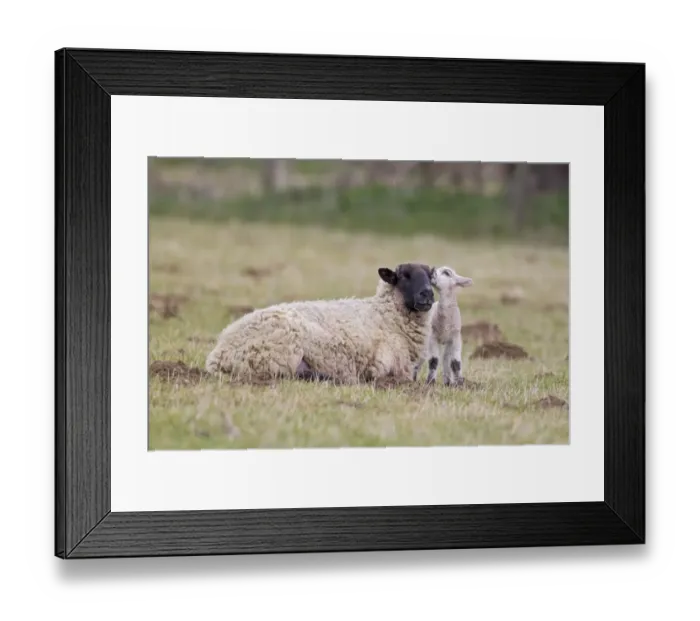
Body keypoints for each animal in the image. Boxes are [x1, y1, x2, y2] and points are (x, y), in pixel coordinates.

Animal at [204, 263, 436, 385]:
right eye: (404, 276)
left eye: (430, 276)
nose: (427, 293)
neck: (385, 315)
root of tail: (218, 353)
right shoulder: (386, 366)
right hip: (279, 356)